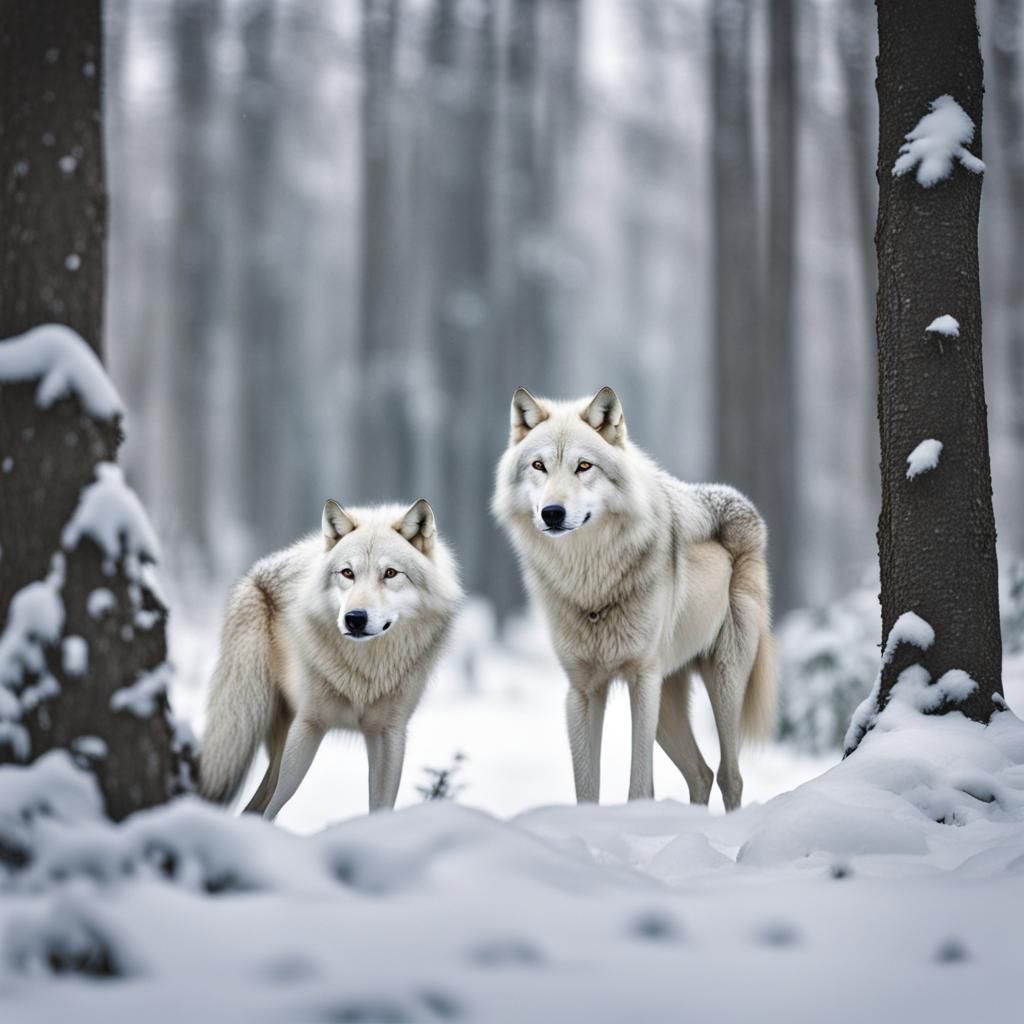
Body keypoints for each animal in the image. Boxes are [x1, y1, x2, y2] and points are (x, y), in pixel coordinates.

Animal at [199, 499, 462, 818]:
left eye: (390, 573)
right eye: (347, 573)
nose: (355, 618)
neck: (367, 669)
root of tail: (256, 573)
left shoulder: (389, 734)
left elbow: (380, 808)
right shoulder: (307, 727)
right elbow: (272, 809)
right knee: (261, 806)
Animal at [493, 386, 775, 810]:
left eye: (584, 466)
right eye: (539, 466)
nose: (552, 513)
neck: (591, 580)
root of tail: (733, 505)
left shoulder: (642, 682)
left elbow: (639, 787)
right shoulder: (582, 692)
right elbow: (586, 791)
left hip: (721, 686)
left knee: (730, 776)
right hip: (667, 708)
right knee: (702, 773)